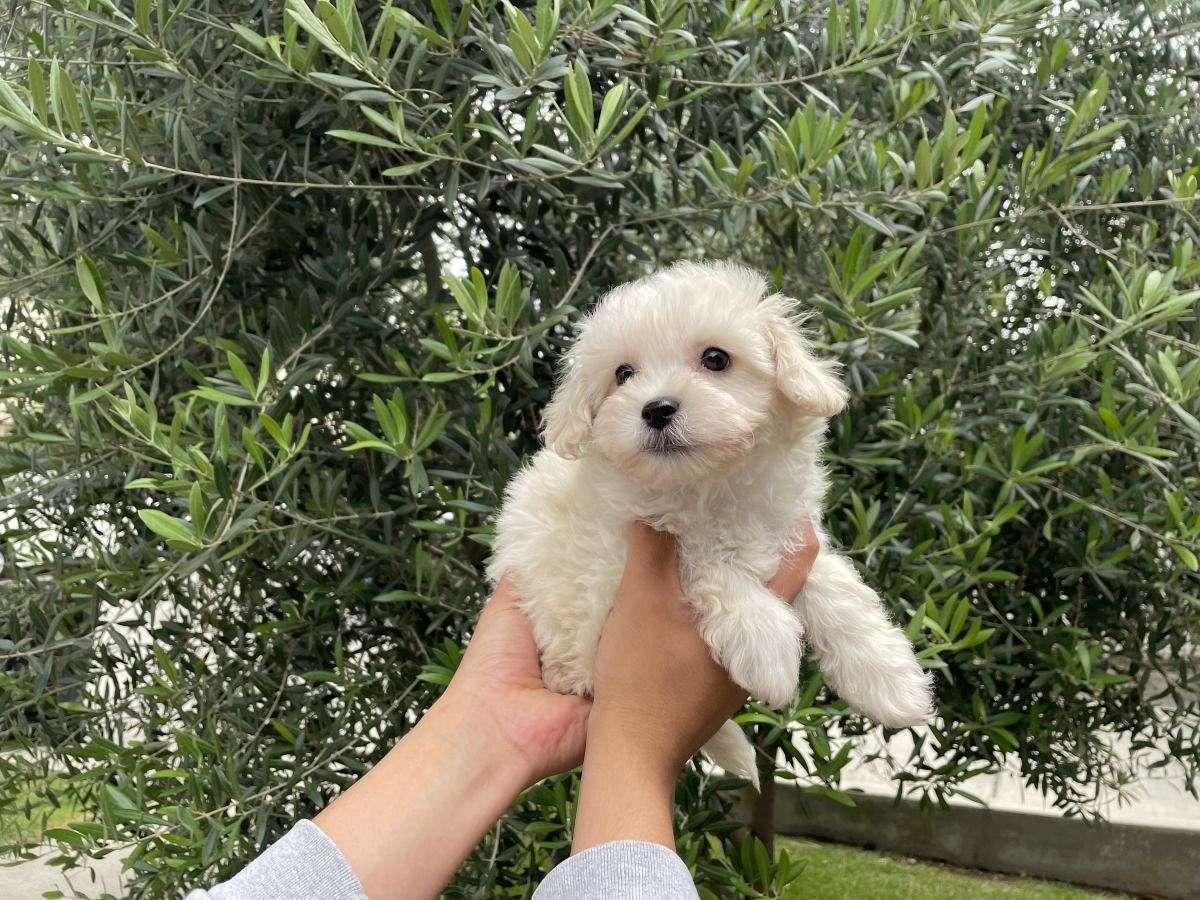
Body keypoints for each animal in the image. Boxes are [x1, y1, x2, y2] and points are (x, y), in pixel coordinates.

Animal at [484, 262, 926, 787]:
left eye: (716, 358)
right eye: (623, 374)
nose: (656, 408)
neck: (707, 485)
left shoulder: (789, 532)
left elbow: (836, 591)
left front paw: (890, 678)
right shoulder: (609, 560)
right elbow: (703, 559)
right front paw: (767, 646)